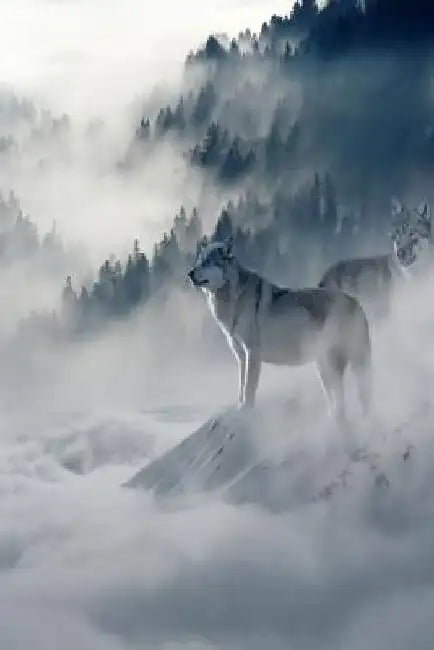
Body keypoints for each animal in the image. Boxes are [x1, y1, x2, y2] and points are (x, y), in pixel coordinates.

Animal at [188, 240, 371, 420]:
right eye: (198, 261)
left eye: (208, 262)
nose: (190, 273)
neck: (233, 298)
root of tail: (356, 302)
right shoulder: (241, 356)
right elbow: (241, 386)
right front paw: (239, 408)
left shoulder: (252, 352)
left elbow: (249, 388)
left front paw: (247, 410)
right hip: (322, 366)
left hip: (334, 362)